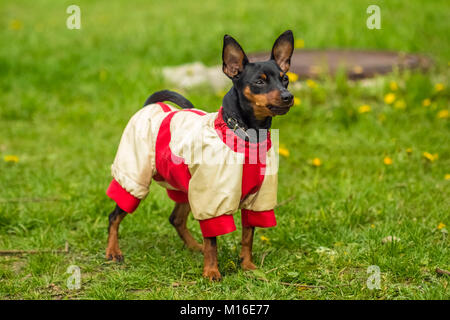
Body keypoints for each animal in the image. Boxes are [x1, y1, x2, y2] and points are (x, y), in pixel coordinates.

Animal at [106, 30, 296, 280]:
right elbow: (212, 240)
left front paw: (247, 266)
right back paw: (113, 251)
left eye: (285, 79)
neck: (248, 137)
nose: (288, 96)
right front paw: (212, 272)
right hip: (136, 177)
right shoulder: (211, 199)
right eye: (259, 81)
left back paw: (194, 247)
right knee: (115, 215)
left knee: (176, 219)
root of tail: (152, 107)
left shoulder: (257, 200)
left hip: (186, 187)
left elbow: (248, 236)